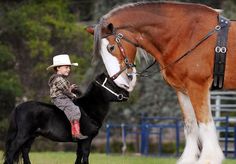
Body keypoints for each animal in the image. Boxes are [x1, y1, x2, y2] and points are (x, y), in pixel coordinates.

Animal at [86, 1, 236, 164]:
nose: (121, 82)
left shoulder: (198, 86)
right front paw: (188, 158)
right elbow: (190, 124)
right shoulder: (182, 90)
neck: (186, 34)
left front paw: (209, 158)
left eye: (111, 47)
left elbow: (204, 122)